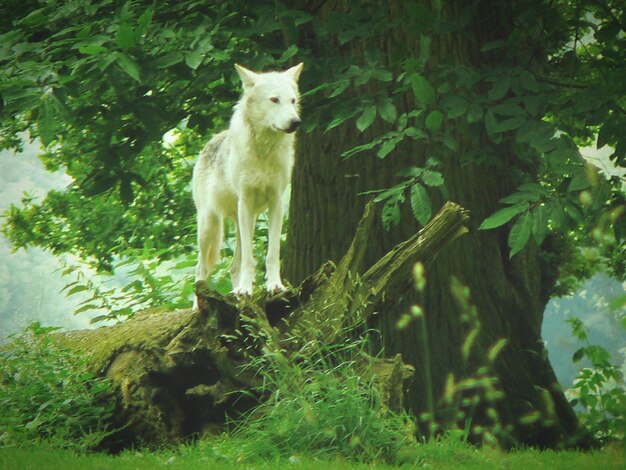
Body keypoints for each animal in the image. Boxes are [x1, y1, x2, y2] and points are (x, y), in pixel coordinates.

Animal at [193, 62, 304, 308]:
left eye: (292, 100)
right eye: (274, 99)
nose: (295, 122)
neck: (264, 152)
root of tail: (212, 139)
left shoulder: (277, 203)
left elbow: (272, 253)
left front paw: (275, 286)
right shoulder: (245, 201)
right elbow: (249, 260)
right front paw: (245, 290)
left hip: (246, 219)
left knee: (233, 266)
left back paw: (235, 291)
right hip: (210, 227)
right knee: (201, 269)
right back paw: (199, 306)